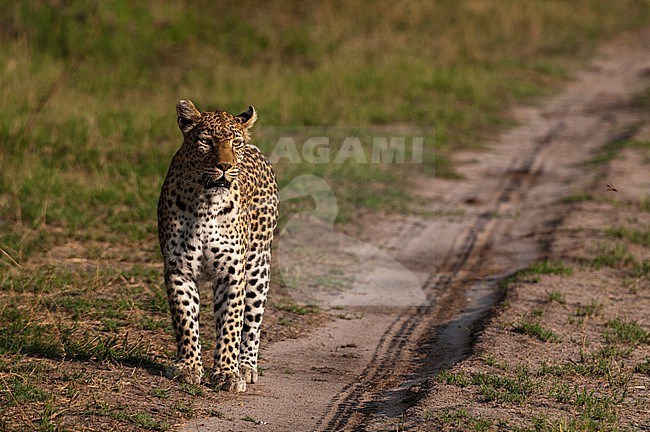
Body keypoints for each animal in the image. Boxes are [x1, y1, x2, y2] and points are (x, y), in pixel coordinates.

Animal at [159, 100, 278, 392]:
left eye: (235, 143)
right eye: (206, 141)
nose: (225, 165)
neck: (206, 203)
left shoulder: (232, 272)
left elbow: (231, 323)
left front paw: (227, 373)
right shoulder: (179, 269)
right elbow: (185, 319)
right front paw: (188, 366)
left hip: (259, 267)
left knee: (252, 321)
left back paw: (245, 366)